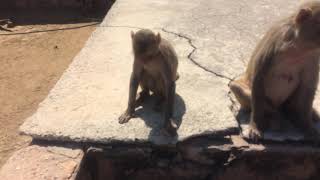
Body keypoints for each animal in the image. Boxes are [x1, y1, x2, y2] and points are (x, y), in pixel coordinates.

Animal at [230, 1, 320, 142]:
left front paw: (307, 126)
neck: (298, 47)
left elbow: (307, 88)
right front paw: (255, 125)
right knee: (237, 87)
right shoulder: (272, 45)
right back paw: (276, 116)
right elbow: (258, 81)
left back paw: (295, 114)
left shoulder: (313, 57)